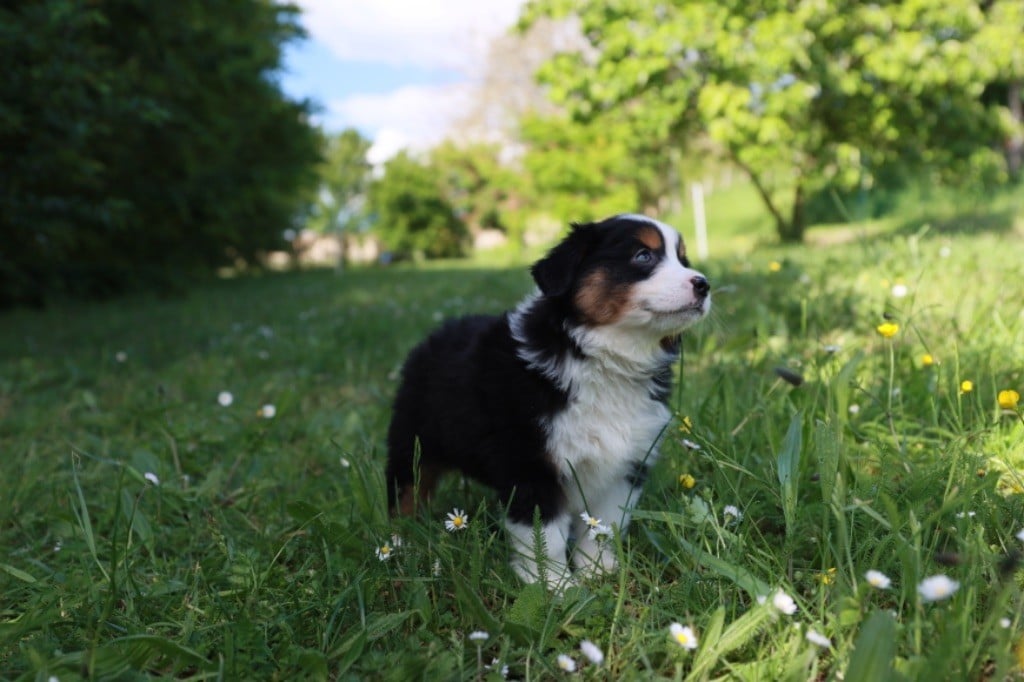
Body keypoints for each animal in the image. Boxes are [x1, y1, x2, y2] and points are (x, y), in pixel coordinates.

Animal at [385, 214, 712, 585]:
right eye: (643, 256)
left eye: (683, 259)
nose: (703, 284)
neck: (602, 356)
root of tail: (433, 337)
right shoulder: (530, 464)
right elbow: (545, 537)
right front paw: (554, 585)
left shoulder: (625, 464)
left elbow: (602, 525)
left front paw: (598, 572)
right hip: (413, 441)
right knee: (406, 491)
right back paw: (400, 544)